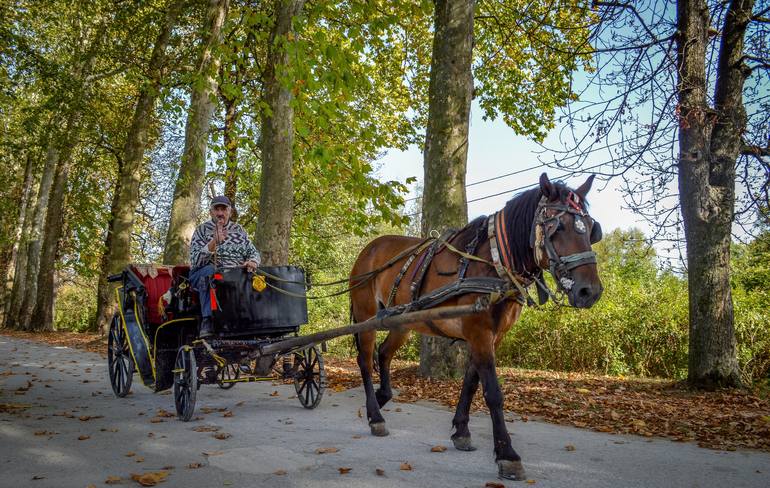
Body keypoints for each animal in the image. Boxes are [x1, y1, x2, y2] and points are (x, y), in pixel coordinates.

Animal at [350, 173, 608, 478]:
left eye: (590, 229)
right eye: (558, 227)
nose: (589, 291)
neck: (495, 263)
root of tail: (369, 249)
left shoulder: (492, 336)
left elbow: (472, 383)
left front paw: (461, 431)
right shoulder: (479, 331)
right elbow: (493, 392)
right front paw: (507, 454)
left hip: (401, 322)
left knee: (384, 353)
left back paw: (382, 397)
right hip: (366, 316)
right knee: (365, 360)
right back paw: (375, 415)